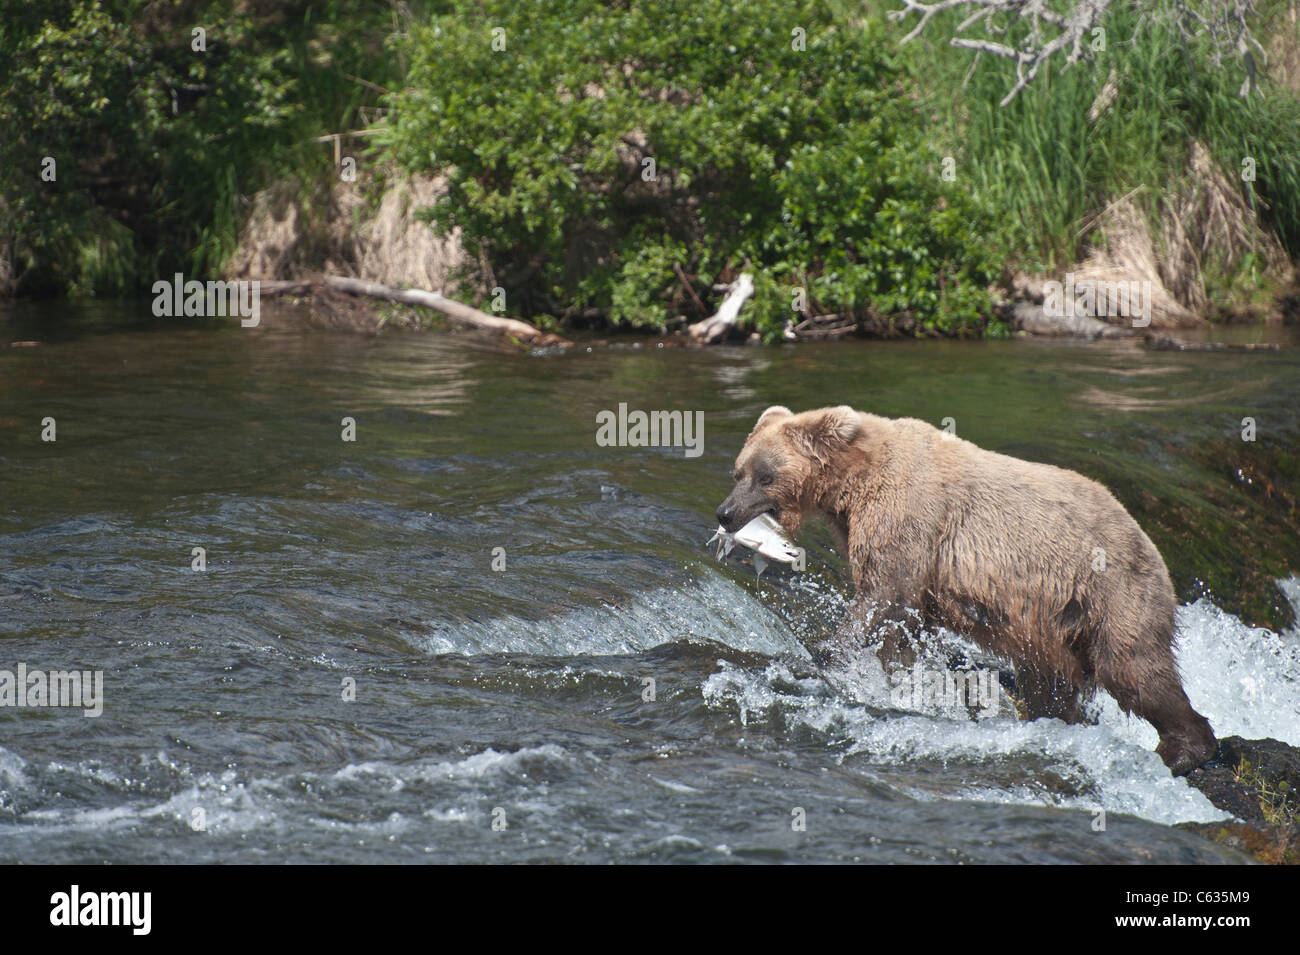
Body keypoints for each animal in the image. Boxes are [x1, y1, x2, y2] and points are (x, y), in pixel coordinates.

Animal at [715, 405, 1217, 776]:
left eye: (765, 475)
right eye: (737, 472)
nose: (725, 513)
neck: (851, 487)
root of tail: (1153, 546)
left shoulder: (910, 518)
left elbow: (882, 596)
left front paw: (828, 650)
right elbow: (899, 623)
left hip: (1109, 591)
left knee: (1134, 669)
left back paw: (1182, 749)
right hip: (1053, 625)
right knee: (1051, 681)